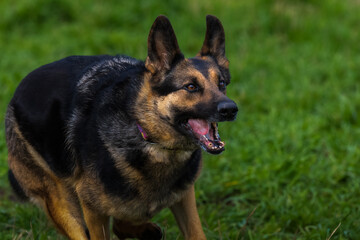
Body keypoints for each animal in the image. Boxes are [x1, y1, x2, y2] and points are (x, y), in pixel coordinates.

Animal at [5, 15, 238, 240]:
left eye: (221, 84)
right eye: (190, 87)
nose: (231, 109)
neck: (146, 135)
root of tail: (18, 90)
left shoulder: (184, 196)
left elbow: (194, 232)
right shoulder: (92, 209)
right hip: (62, 204)